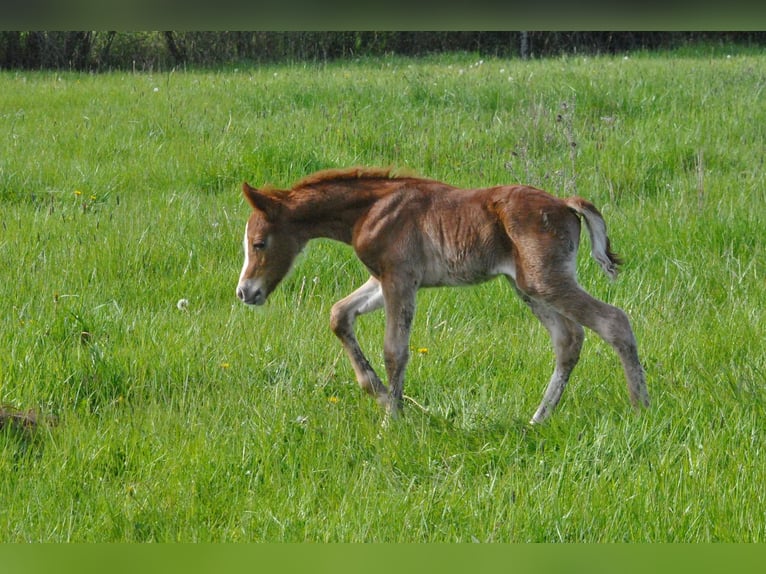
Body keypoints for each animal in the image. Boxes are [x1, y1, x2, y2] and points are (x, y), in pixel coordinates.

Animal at [237, 166, 652, 424]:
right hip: (525, 285)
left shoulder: (400, 278)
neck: (369, 210)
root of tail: (565, 204)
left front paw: (393, 419)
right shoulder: (383, 279)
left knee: (613, 321)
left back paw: (641, 409)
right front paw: (381, 395)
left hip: (543, 280)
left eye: (259, 243)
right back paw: (538, 419)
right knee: (568, 339)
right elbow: (339, 314)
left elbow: (395, 351)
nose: (245, 292)